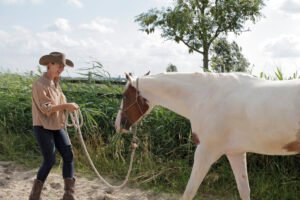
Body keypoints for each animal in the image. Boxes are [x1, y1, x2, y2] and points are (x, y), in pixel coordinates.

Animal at [113, 72, 298, 200]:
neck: (206, 97)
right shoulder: (235, 153)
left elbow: (189, 192)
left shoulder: (205, 152)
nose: (117, 125)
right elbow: (244, 190)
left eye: (124, 96)